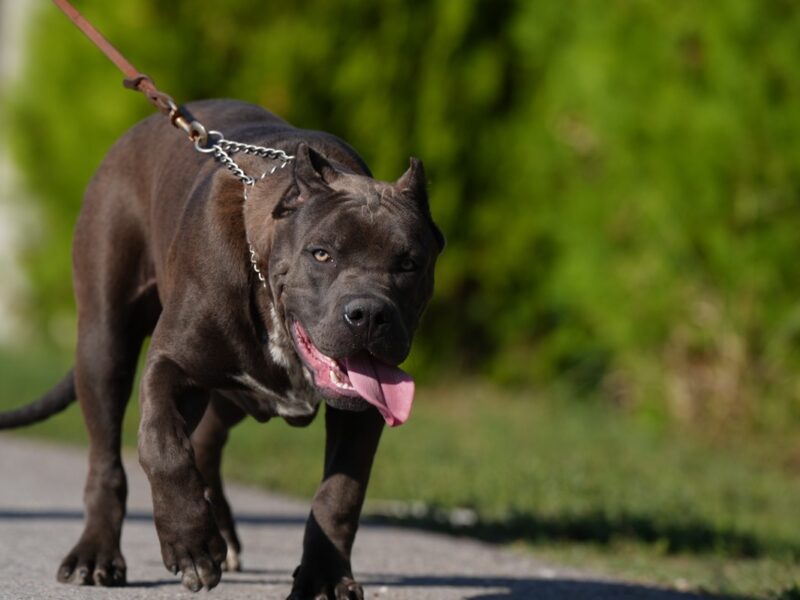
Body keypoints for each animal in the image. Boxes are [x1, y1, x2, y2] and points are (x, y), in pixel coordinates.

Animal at [0, 99, 444, 600]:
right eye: (322, 253)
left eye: (409, 264)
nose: (369, 313)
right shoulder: (172, 366)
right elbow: (161, 445)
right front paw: (190, 545)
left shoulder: (360, 414)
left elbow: (339, 496)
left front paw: (324, 578)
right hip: (104, 343)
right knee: (107, 457)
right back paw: (95, 554)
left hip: (229, 393)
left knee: (206, 441)